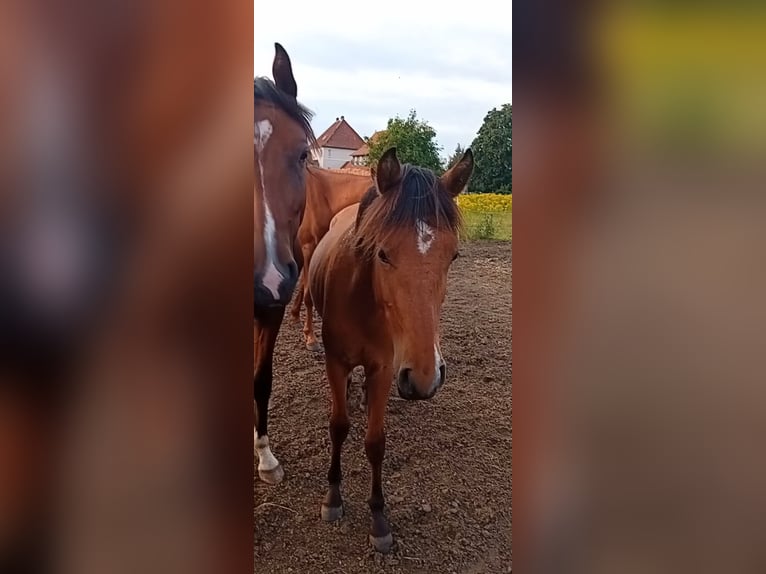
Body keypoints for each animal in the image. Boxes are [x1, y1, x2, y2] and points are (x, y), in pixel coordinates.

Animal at [306, 147, 474, 552]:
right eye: (382, 254)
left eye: (453, 256)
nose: (426, 377)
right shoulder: (335, 362)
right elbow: (338, 426)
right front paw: (333, 497)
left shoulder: (383, 369)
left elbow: (375, 442)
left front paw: (379, 518)